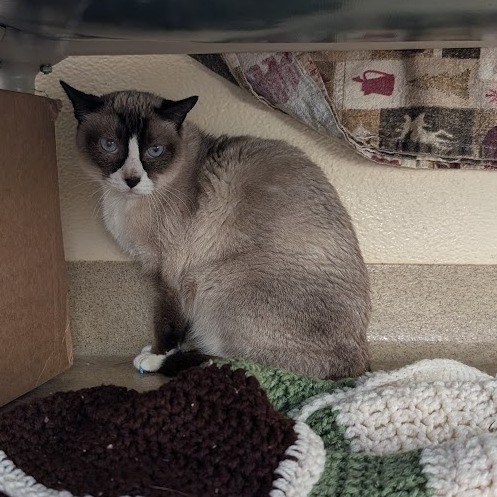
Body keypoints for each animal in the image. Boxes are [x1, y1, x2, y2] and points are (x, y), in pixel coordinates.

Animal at [60, 79, 370, 378]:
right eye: (109, 145)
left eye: (155, 150)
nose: (132, 179)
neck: (127, 204)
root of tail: (359, 363)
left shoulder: (171, 274)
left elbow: (167, 323)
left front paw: (157, 356)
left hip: (216, 280)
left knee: (239, 361)